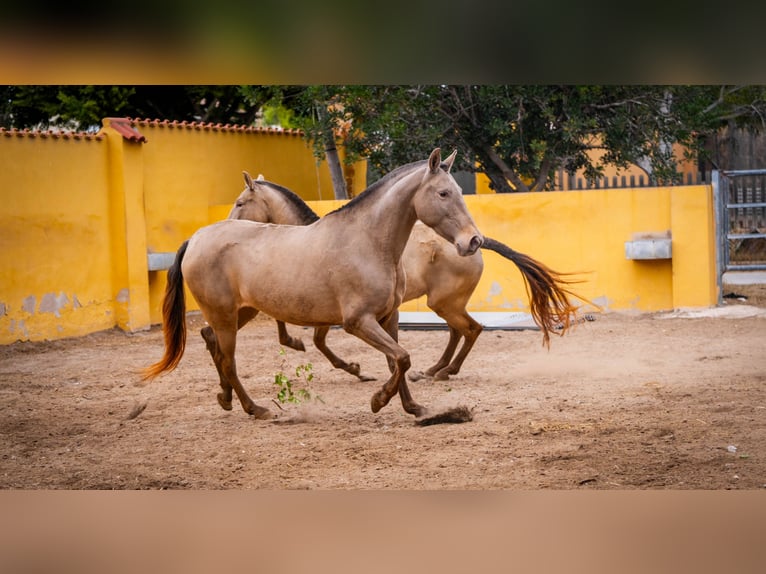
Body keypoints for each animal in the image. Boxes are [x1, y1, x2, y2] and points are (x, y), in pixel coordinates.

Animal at [142, 149, 483, 420]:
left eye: (457, 191)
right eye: (443, 194)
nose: (473, 240)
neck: (368, 242)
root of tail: (197, 238)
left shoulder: (389, 317)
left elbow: (396, 361)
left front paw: (413, 407)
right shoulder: (357, 322)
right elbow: (401, 358)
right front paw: (378, 400)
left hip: (241, 312)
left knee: (213, 343)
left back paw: (225, 399)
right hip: (225, 315)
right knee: (227, 360)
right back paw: (256, 409)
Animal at [228, 171, 581, 382]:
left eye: (240, 202)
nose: (229, 223)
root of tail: (476, 242)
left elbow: (317, 340)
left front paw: (353, 369)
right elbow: (308, 334)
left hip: (444, 303)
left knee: (470, 329)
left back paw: (445, 371)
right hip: (445, 304)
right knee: (459, 331)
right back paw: (435, 368)